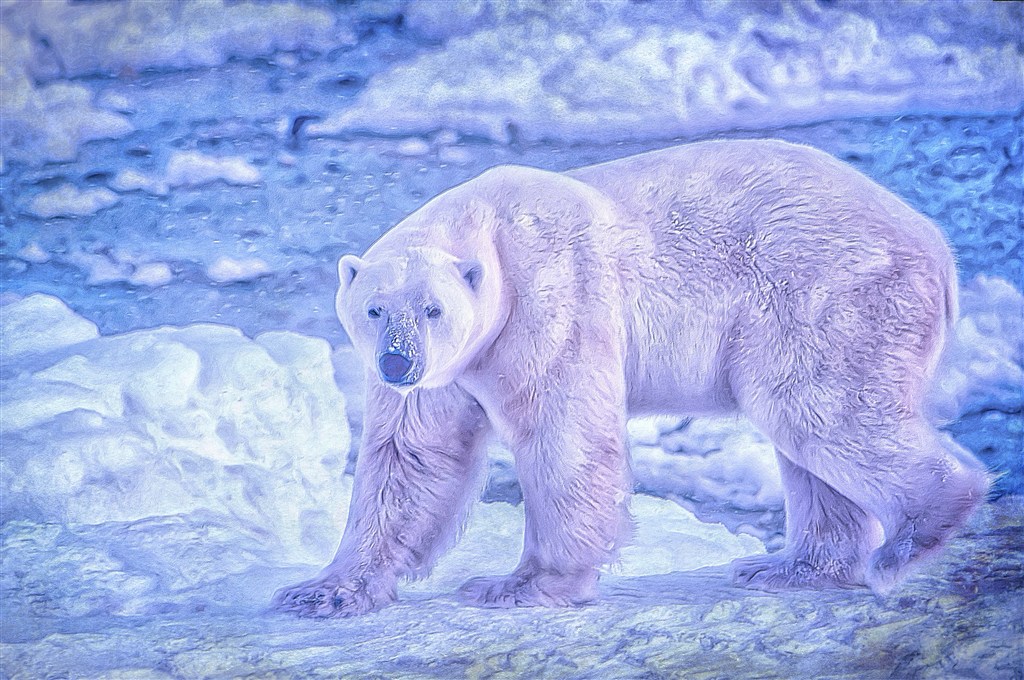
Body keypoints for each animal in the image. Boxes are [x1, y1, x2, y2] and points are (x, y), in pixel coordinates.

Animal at [276, 138, 987, 614]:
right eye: (374, 308)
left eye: (433, 308)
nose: (398, 361)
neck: (488, 228)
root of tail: (937, 246)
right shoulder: (445, 373)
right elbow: (411, 455)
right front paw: (323, 591)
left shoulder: (551, 295)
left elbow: (562, 430)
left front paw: (520, 583)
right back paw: (790, 568)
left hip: (822, 289)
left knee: (817, 405)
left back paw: (910, 538)